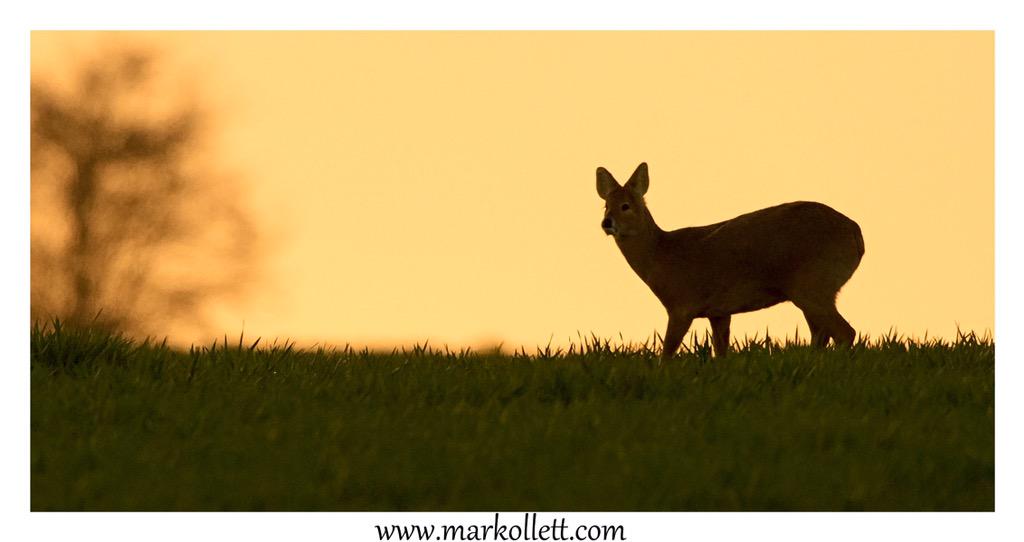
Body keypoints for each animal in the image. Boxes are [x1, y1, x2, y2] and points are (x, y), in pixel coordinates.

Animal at [593, 162, 864, 360]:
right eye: (606, 205)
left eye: (626, 205)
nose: (607, 222)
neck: (661, 255)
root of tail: (856, 233)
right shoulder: (719, 312)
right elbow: (721, 353)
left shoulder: (681, 305)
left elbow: (667, 355)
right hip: (814, 290)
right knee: (822, 334)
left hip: (812, 284)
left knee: (845, 332)